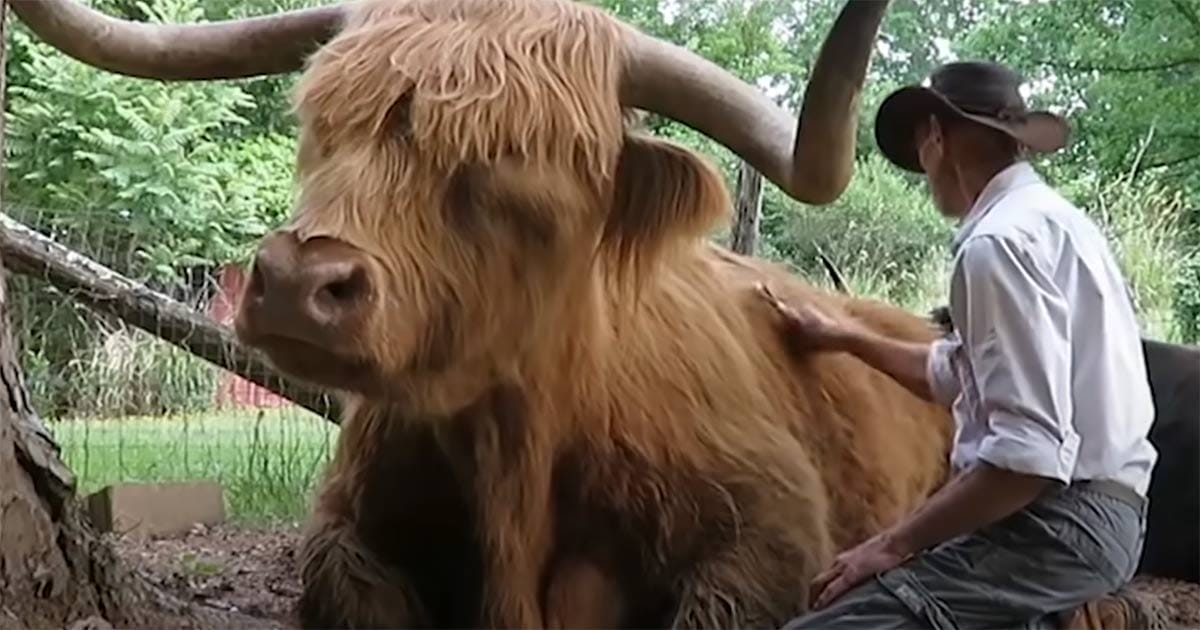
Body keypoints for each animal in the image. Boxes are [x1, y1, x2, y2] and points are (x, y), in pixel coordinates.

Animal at [10, 0, 1164, 628]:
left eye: (518, 165)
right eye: (320, 121)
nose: (299, 281)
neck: (516, 456)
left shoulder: (770, 528)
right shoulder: (346, 523)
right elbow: (348, 581)